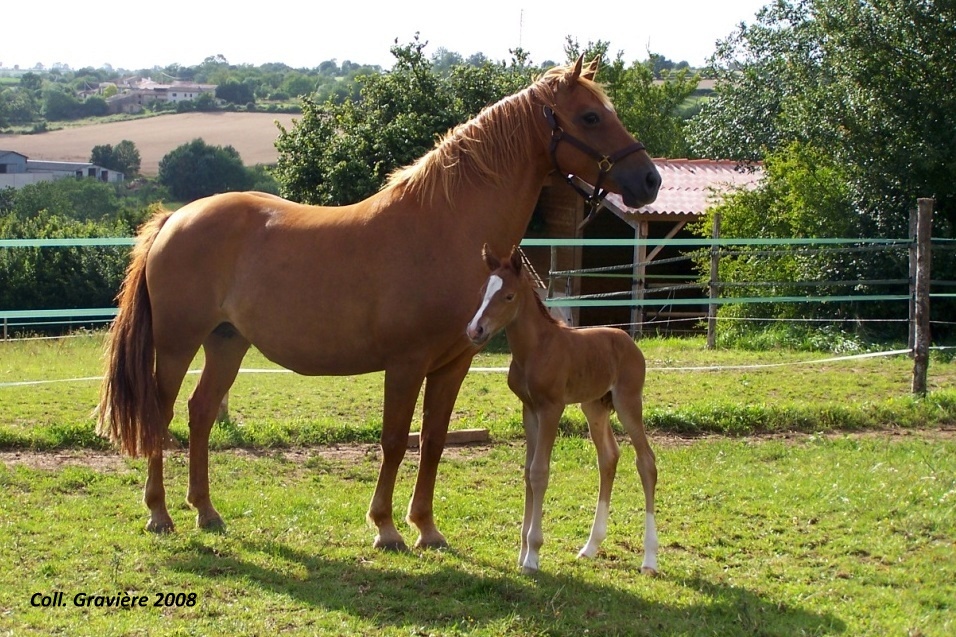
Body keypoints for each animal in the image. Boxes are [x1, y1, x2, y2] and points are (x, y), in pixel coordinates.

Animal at [464, 243, 656, 572]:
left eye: (509, 296)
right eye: (482, 292)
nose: (475, 330)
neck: (536, 349)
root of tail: (629, 340)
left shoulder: (551, 409)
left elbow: (540, 472)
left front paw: (533, 554)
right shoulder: (529, 410)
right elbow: (528, 472)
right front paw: (522, 552)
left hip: (629, 402)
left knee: (646, 462)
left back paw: (650, 559)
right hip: (594, 406)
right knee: (609, 458)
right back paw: (590, 547)